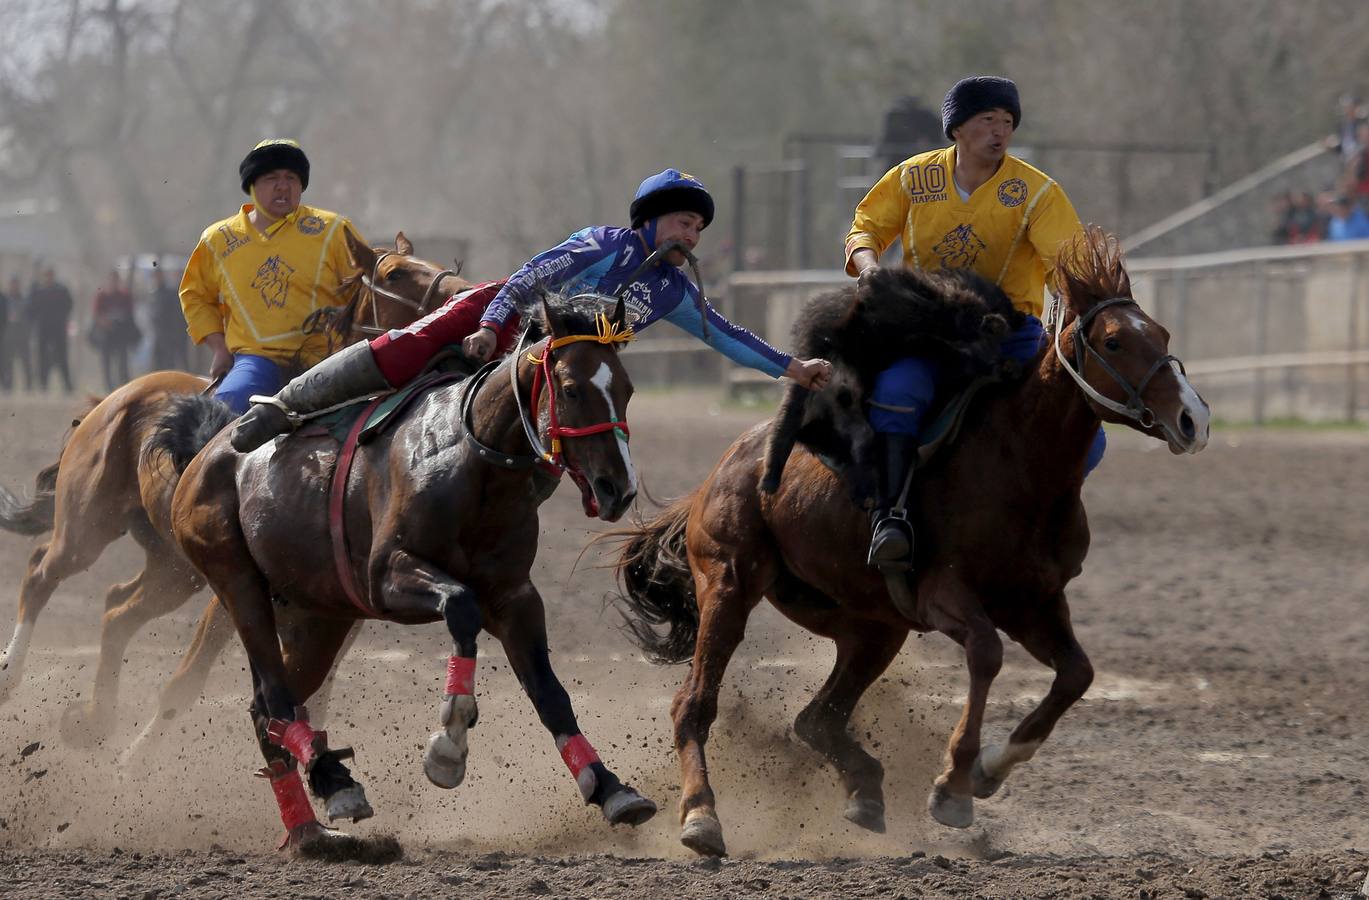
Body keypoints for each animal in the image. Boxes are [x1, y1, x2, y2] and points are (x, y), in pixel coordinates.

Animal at [0, 232, 465, 748]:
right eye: (395, 274)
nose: (465, 292)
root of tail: (114, 398)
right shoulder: (231, 595)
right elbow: (186, 682)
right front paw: (133, 763)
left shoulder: (339, 614)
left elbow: (313, 695)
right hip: (88, 526)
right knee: (41, 571)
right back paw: (12, 675)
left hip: (173, 568)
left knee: (116, 609)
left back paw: (95, 721)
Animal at [154, 287, 655, 850]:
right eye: (570, 389)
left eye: (627, 389)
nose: (618, 488)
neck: (472, 464)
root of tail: (206, 453)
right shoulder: (387, 578)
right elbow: (461, 607)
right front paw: (449, 743)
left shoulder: (514, 595)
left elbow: (549, 692)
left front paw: (610, 787)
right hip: (238, 584)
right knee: (274, 698)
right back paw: (325, 790)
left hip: (320, 615)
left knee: (272, 707)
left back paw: (319, 817)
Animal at [610, 227, 1211, 857]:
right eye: (1115, 341)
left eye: (1163, 334)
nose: (1193, 419)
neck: (1018, 463)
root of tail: (716, 476)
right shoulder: (943, 594)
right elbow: (987, 653)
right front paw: (953, 785)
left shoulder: (1034, 602)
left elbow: (1077, 674)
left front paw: (989, 769)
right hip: (729, 587)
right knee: (694, 705)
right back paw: (702, 816)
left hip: (872, 627)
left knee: (817, 719)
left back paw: (865, 793)